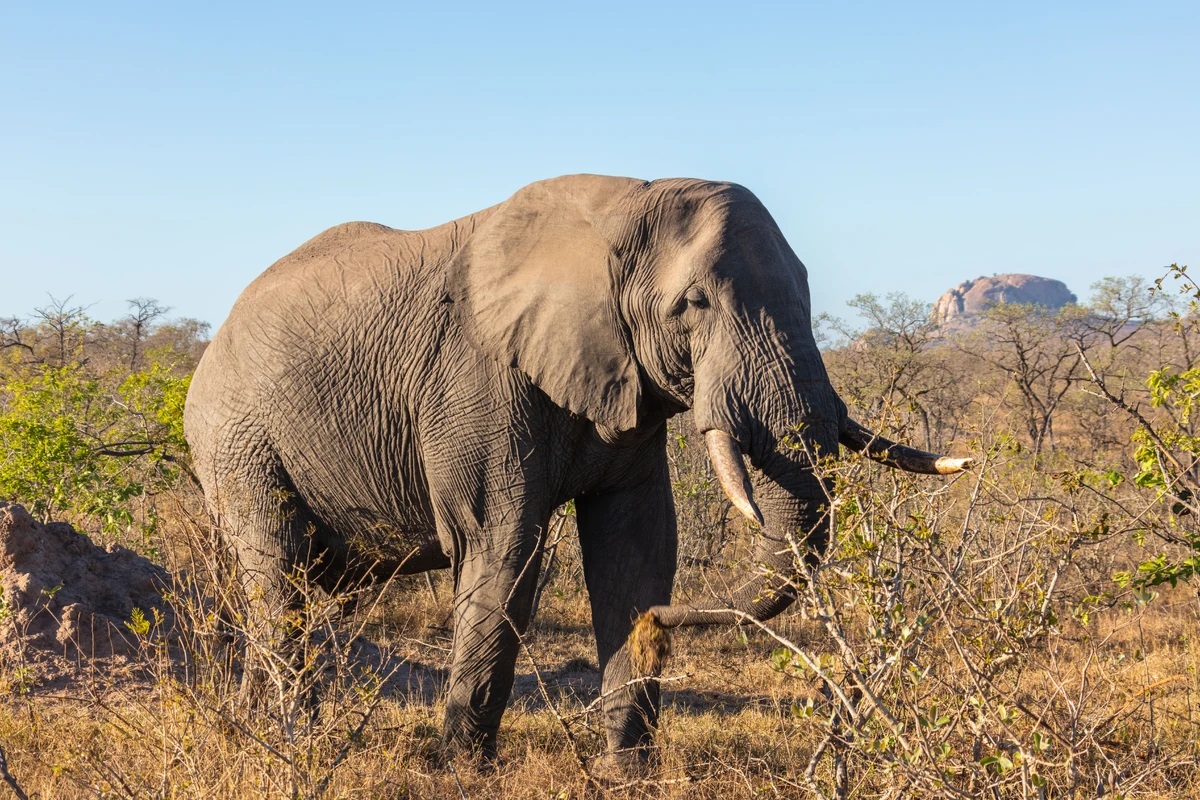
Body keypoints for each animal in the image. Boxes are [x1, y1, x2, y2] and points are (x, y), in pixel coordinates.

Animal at [183, 174, 970, 768]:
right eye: (694, 303)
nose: (663, 623)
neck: (620, 209)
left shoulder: (628, 382)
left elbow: (636, 547)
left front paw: (627, 772)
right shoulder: (478, 379)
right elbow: (502, 547)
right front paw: (461, 769)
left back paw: (249, 727)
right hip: (236, 441)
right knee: (277, 575)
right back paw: (294, 741)